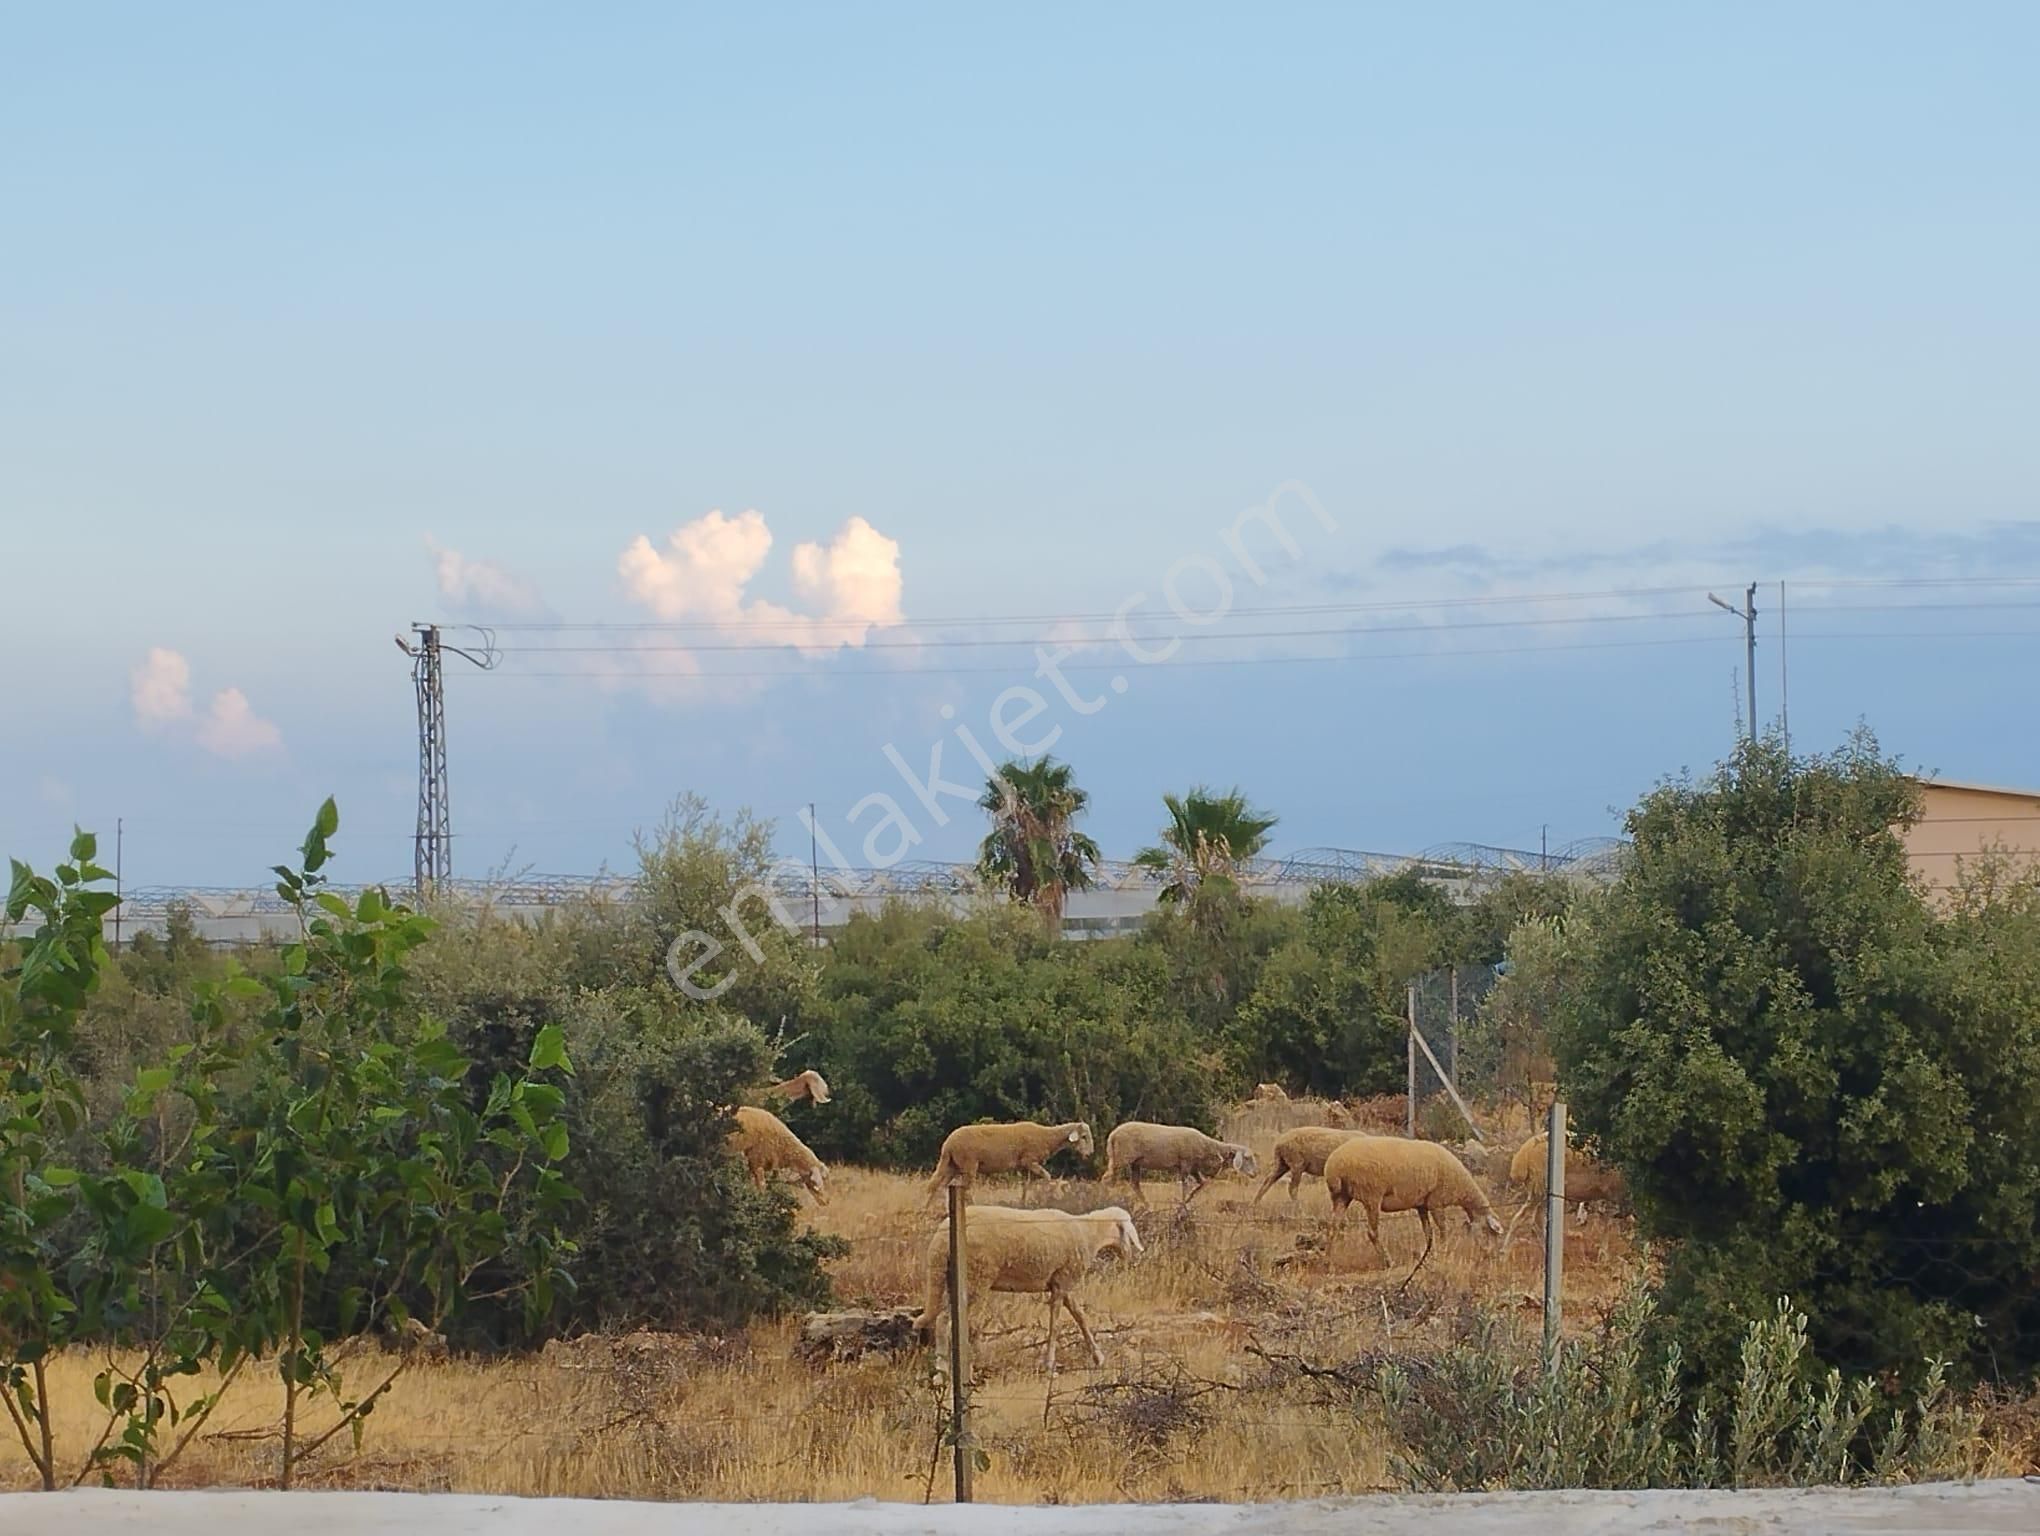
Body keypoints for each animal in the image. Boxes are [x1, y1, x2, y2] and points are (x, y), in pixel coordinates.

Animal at [913, 1207, 1150, 1370]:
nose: (1137, 1256)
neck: (1089, 1232)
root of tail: (941, 1237)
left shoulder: (1061, 1283)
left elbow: (1080, 1316)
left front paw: (1098, 1357)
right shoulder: (1064, 1281)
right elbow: (1056, 1323)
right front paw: (1050, 1364)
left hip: (949, 1276)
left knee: (943, 1318)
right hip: (975, 1278)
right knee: (944, 1320)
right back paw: (943, 1370)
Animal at [930, 1117, 1101, 1207]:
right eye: (1084, 1136)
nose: (1090, 1153)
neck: (1047, 1137)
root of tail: (948, 1143)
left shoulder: (1024, 1167)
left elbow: (1025, 1185)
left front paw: (1023, 1203)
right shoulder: (1029, 1161)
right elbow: (1047, 1176)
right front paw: (1050, 1195)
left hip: (951, 1165)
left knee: (936, 1185)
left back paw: (931, 1209)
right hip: (968, 1164)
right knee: (965, 1188)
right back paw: (972, 1205)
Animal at [1101, 1117, 1256, 1207]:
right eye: (1247, 1158)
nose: (1255, 1174)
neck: (1209, 1148)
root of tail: (1112, 1135)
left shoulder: (1193, 1168)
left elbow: (1202, 1184)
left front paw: (1187, 1200)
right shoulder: (1186, 1164)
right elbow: (1185, 1186)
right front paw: (1183, 1204)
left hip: (1135, 1163)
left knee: (1134, 1184)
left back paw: (1147, 1205)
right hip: (1121, 1159)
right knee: (1107, 1179)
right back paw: (1106, 1199)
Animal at [1313, 1125, 1509, 1281]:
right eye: (1489, 1232)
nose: (1491, 1256)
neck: (1462, 1186)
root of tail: (1334, 1166)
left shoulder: (1422, 1205)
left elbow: (1428, 1233)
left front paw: (1428, 1254)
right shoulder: (1436, 1202)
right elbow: (1443, 1230)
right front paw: (1443, 1253)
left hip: (1341, 1196)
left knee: (1332, 1227)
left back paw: (1329, 1265)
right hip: (1372, 1195)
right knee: (1372, 1232)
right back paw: (1388, 1261)